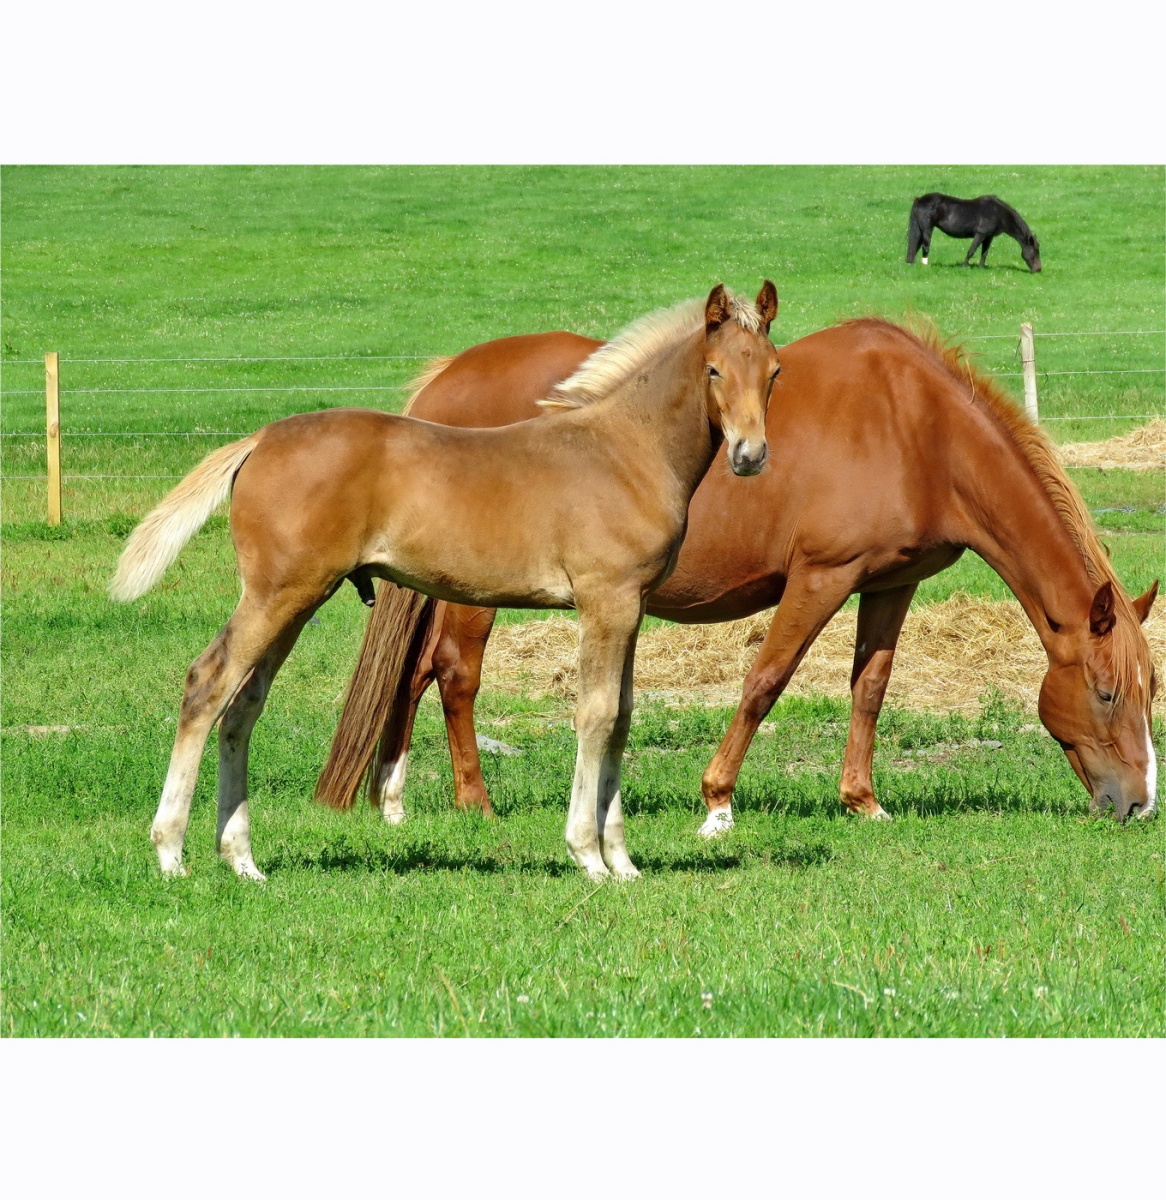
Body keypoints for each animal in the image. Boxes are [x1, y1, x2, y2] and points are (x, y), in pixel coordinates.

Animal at [110, 283, 782, 881]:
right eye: (715, 370)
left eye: (773, 372)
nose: (750, 455)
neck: (623, 451)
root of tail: (259, 439)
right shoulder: (605, 602)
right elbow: (595, 715)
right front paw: (589, 856)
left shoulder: (632, 606)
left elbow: (621, 716)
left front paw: (623, 861)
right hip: (278, 594)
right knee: (208, 683)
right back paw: (171, 853)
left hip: (296, 600)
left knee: (244, 703)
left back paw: (242, 860)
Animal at [320, 320, 1158, 836]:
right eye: (1106, 693)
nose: (1140, 805)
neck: (918, 428)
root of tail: (446, 379)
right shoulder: (822, 577)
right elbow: (766, 681)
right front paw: (717, 803)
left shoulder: (891, 584)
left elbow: (870, 688)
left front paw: (863, 801)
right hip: (476, 597)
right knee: (454, 673)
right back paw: (475, 803)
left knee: (413, 674)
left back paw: (394, 801)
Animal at [906, 194, 1042, 272]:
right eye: (1035, 251)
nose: (1039, 269)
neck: (998, 213)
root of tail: (919, 199)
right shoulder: (980, 234)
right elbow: (971, 251)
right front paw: (963, 266)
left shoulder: (989, 237)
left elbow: (984, 253)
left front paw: (981, 268)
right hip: (927, 229)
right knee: (925, 246)